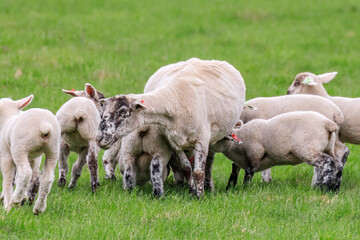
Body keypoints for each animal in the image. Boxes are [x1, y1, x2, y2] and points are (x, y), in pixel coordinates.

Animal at [97, 57, 246, 197]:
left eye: (123, 112)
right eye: (103, 113)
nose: (99, 138)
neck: (174, 98)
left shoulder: (202, 139)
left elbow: (198, 171)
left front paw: (200, 196)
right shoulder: (173, 143)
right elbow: (186, 168)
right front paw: (192, 192)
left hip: (214, 137)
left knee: (209, 162)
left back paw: (208, 187)